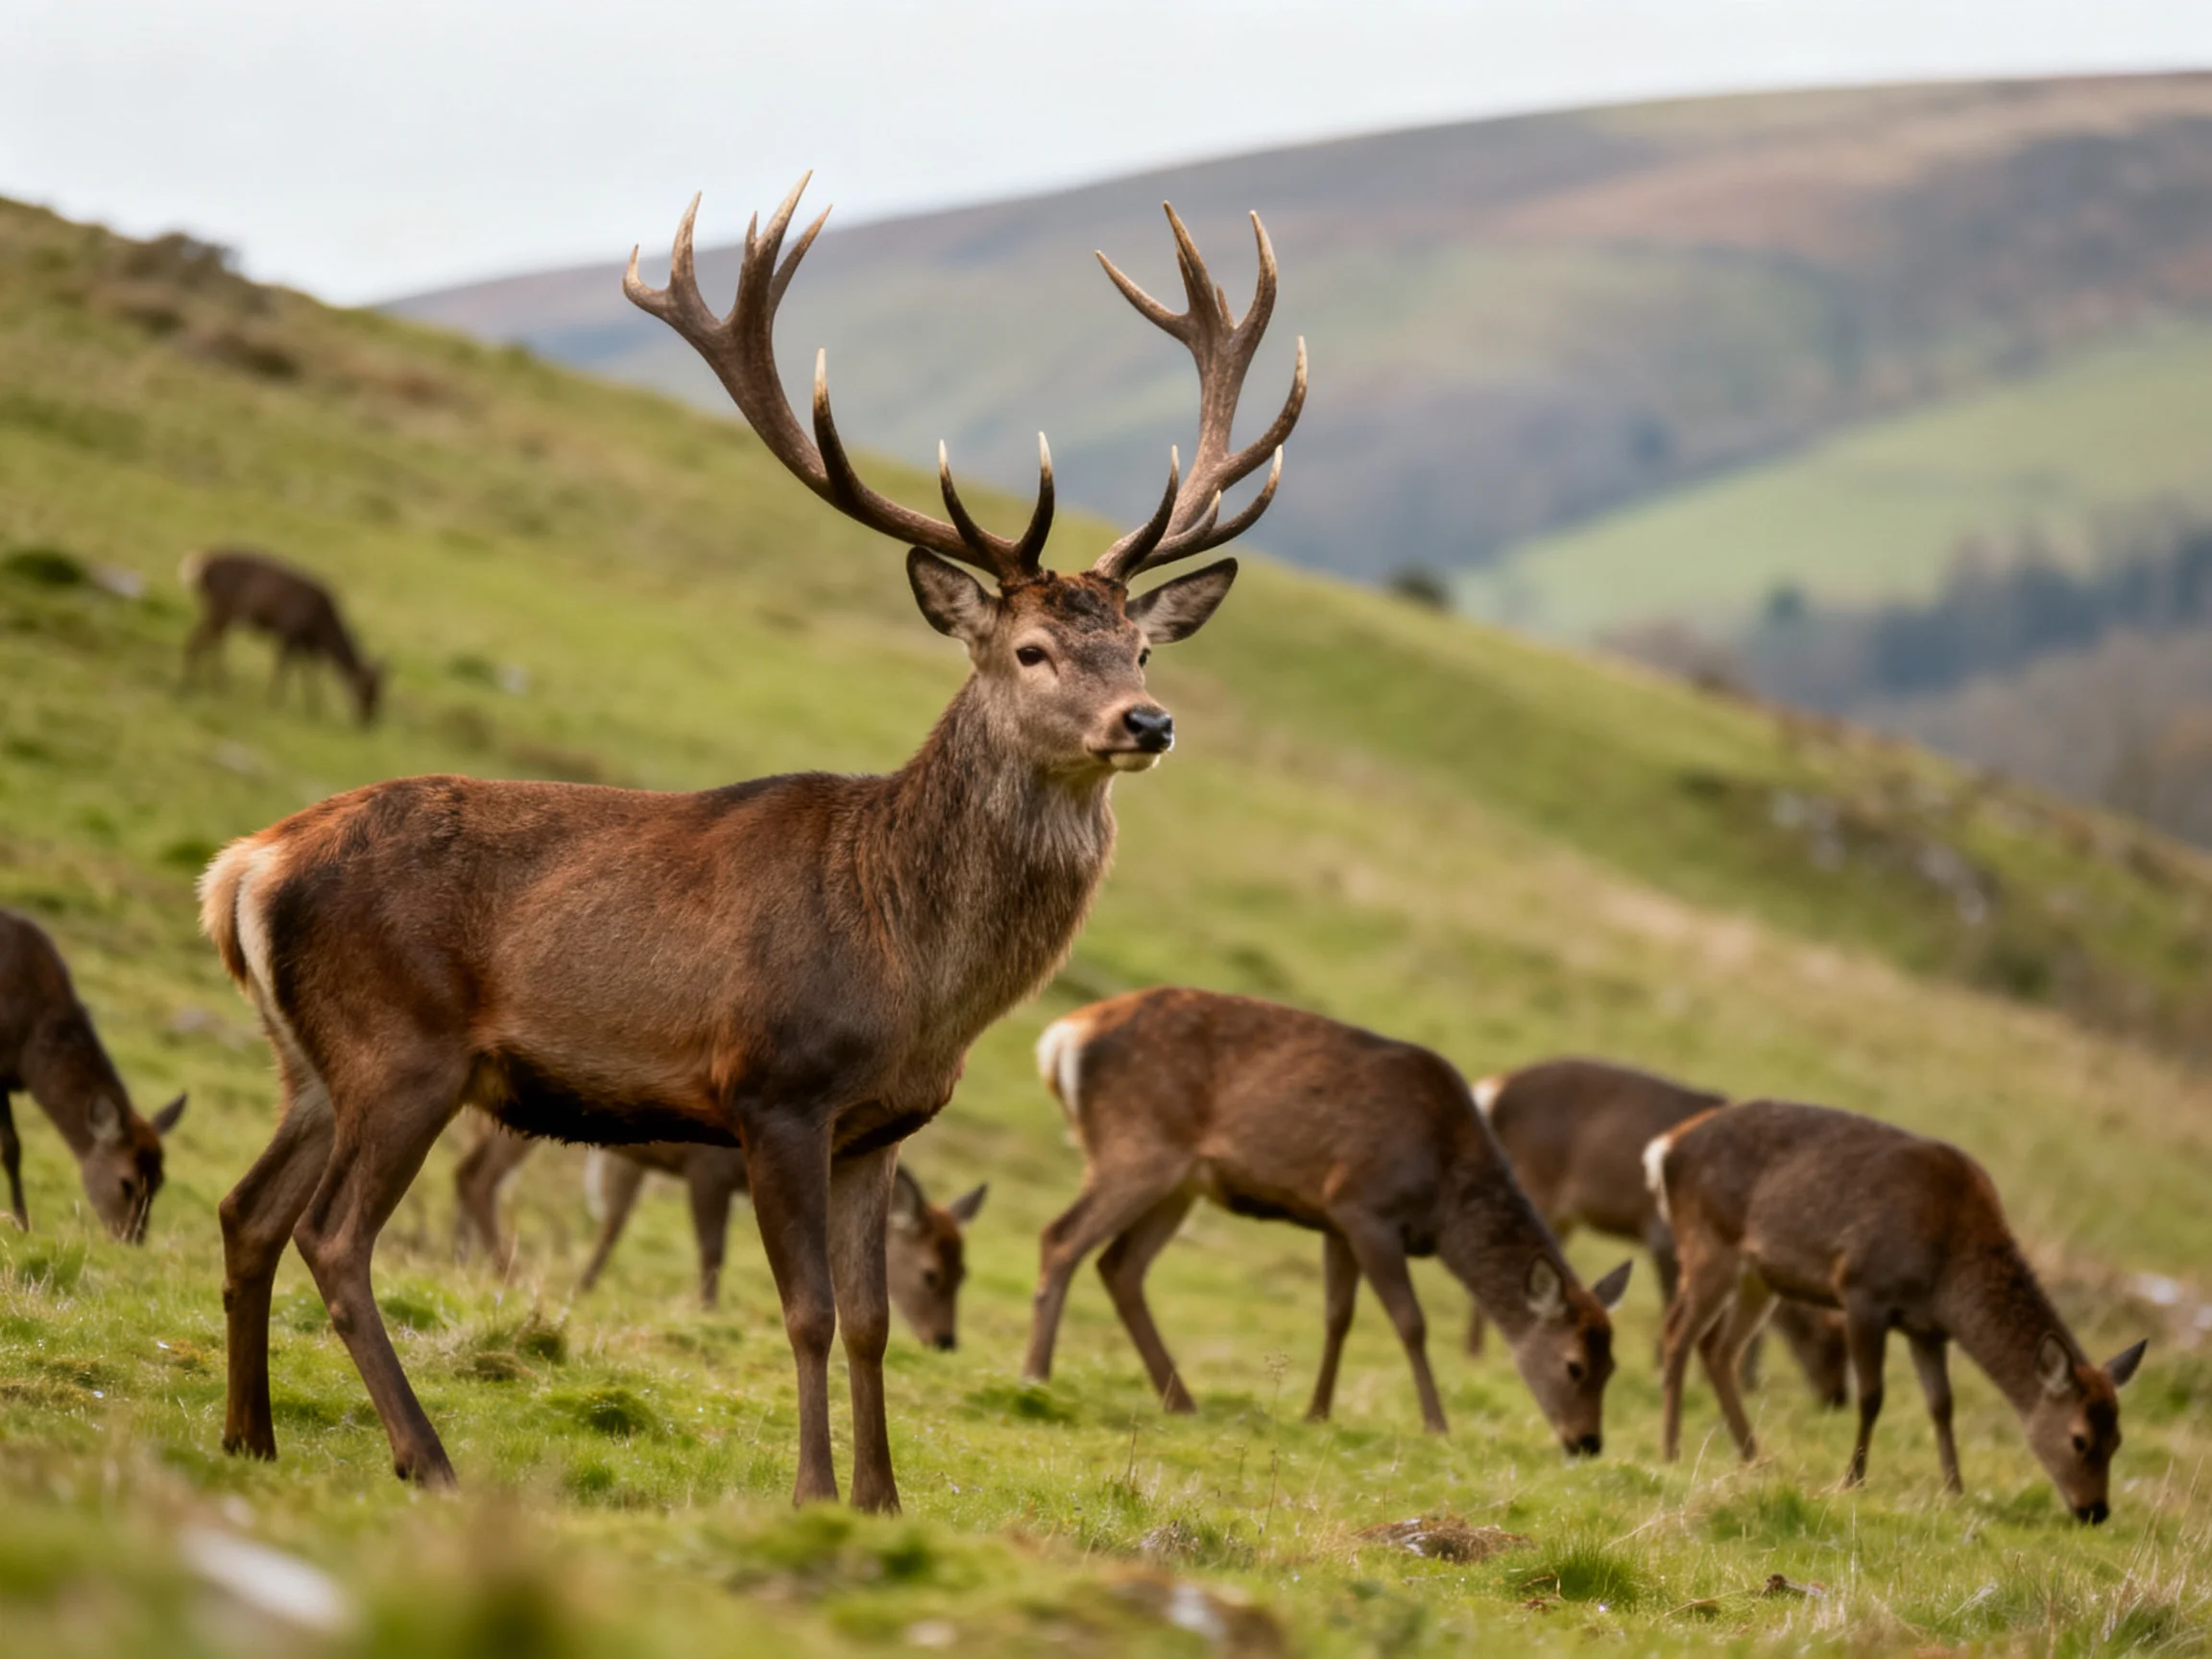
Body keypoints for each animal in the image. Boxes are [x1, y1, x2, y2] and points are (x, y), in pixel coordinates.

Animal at [180, 548, 387, 726]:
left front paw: (314, 710)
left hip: (220, 612)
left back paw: (206, 681)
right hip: (220, 607)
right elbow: (284, 669)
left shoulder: (307, 646)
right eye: (367, 689)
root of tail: (196, 565)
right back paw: (204, 681)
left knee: (208, 639)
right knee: (204, 639)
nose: (368, 722)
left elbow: (309, 675)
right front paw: (274, 702)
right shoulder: (289, 633)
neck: (323, 630)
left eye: (381, 692)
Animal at [450, 1120, 986, 1346]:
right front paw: (706, 1312)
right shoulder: (704, 1167)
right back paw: (510, 1273)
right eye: (931, 1273)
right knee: (476, 1176)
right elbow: (712, 1248)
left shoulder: (636, 1158)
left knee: (463, 1171)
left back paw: (465, 1264)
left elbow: (612, 1225)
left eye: (965, 1271)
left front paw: (581, 1290)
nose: (946, 1340)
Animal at [1024, 989, 1631, 1452]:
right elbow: (1410, 1321)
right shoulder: (1365, 1207)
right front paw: (1436, 1424)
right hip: (1137, 1145)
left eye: (1613, 1368)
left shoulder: (1336, 1219)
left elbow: (1338, 1315)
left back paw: (1181, 1399)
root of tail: (1062, 1037)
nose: (1587, 1443)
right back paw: (1037, 1375)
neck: (1444, 1196)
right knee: (1061, 1237)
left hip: (1180, 1180)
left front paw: (1316, 1412)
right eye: (1575, 1365)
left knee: (1120, 1266)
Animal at [1470, 1058, 1848, 1405]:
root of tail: (1494, 1088)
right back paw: (1477, 1353)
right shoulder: (1662, 1234)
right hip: (1535, 1183)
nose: (1837, 1399)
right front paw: (1664, 1371)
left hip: (1561, 1214)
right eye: (1827, 1340)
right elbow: (1675, 1307)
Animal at [1645, 1099, 2147, 1523]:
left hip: (1759, 1276)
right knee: (1678, 1333)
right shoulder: (1863, 1289)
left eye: (2118, 1439)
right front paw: (1853, 1480)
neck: (1947, 1278)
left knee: (1719, 1348)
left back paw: (1754, 1455)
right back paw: (1671, 1448)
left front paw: (1954, 1489)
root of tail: (1666, 1147)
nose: (2095, 1511)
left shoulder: (1927, 1329)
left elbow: (1942, 1404)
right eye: (2079, 1439)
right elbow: (1872, 1396)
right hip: (1709, 1243)